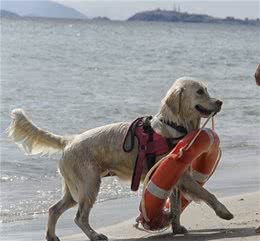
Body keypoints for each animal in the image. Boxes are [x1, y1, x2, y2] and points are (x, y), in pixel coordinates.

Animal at [9, 77, 234, 241]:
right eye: (199, 92)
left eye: (207, 89)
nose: (220, 102)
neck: (174, 126)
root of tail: (69, 140)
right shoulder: (181, 177)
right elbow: (206, 194)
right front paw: (224, 212)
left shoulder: (177, 177)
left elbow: (176, 207)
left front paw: (177, 227)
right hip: (89, 184)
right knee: (79, 217)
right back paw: (95, 235)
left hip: (74, 190)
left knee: (53, 209)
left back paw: (52, 236)